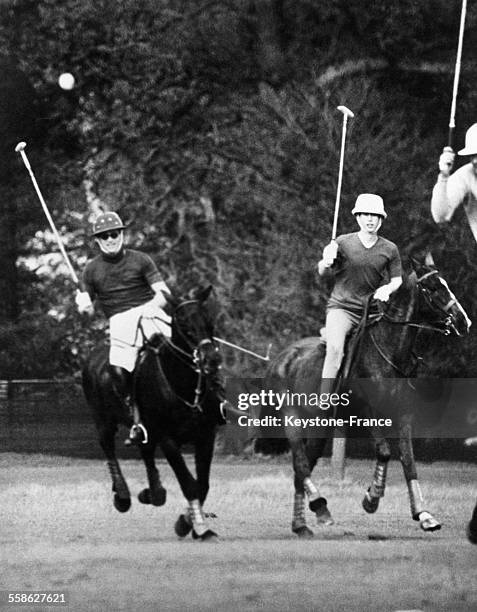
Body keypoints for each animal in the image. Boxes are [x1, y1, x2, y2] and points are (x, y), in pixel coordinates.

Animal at [82, 286, 223, 540]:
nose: (212, 360)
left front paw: (188, 522)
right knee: (107, 445)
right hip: (103, 419)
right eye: (184, 324)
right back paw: (123, 495)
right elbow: (189, 483)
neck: (182, 385)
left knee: (145, 449)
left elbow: (202, 484)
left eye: (209, 322)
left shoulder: (206, 435)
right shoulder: (167, 438)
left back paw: (153, 492)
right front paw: (197, 526)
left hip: (143, 428)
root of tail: (94, 353)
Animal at [262, 260, 470, 536]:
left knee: (302, 466)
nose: (463, 320)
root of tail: (280, 358)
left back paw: (301, 524)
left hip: (318, 427)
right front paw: (371, 499)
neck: (390, 351)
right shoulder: (369, 413)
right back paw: (320, 506)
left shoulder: (404, 416)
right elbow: (384, 451)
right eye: (433, 288)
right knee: (301, 464)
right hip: (292, 419)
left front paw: (424, 515)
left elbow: (409, 461)